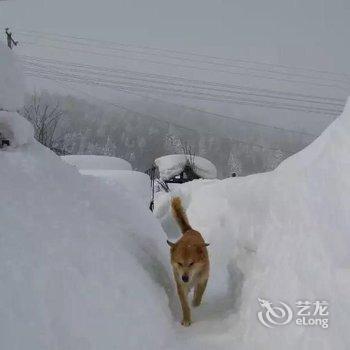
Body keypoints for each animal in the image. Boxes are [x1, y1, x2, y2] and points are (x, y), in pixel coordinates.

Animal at [166, 197, 208, 326]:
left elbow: (199, 295)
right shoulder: (180, 284)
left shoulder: (203, 278)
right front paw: (186, 319)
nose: (185, 278)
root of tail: (190, 230)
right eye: (179, 263)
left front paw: (195, 304)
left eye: (191, 263)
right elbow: (184, 304)